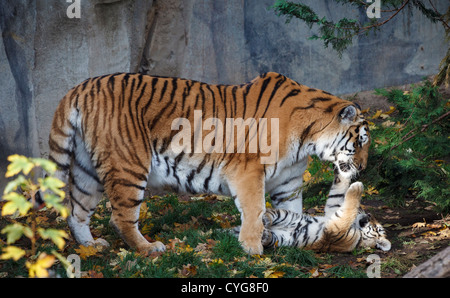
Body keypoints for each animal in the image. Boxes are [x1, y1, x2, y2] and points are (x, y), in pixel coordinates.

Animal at [48, 71, 370, 254]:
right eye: (361, 142)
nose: (364, 168)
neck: (307, 139)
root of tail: (79, 88)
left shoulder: (288, 183)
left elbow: (292, 213)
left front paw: (291, 237)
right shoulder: (249, 171)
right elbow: (254, 209)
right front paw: (253, 249)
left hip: (87, 170)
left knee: (76, 211)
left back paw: (91, 246)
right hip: (128, 164)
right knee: (120, 217)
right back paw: (149, 248)